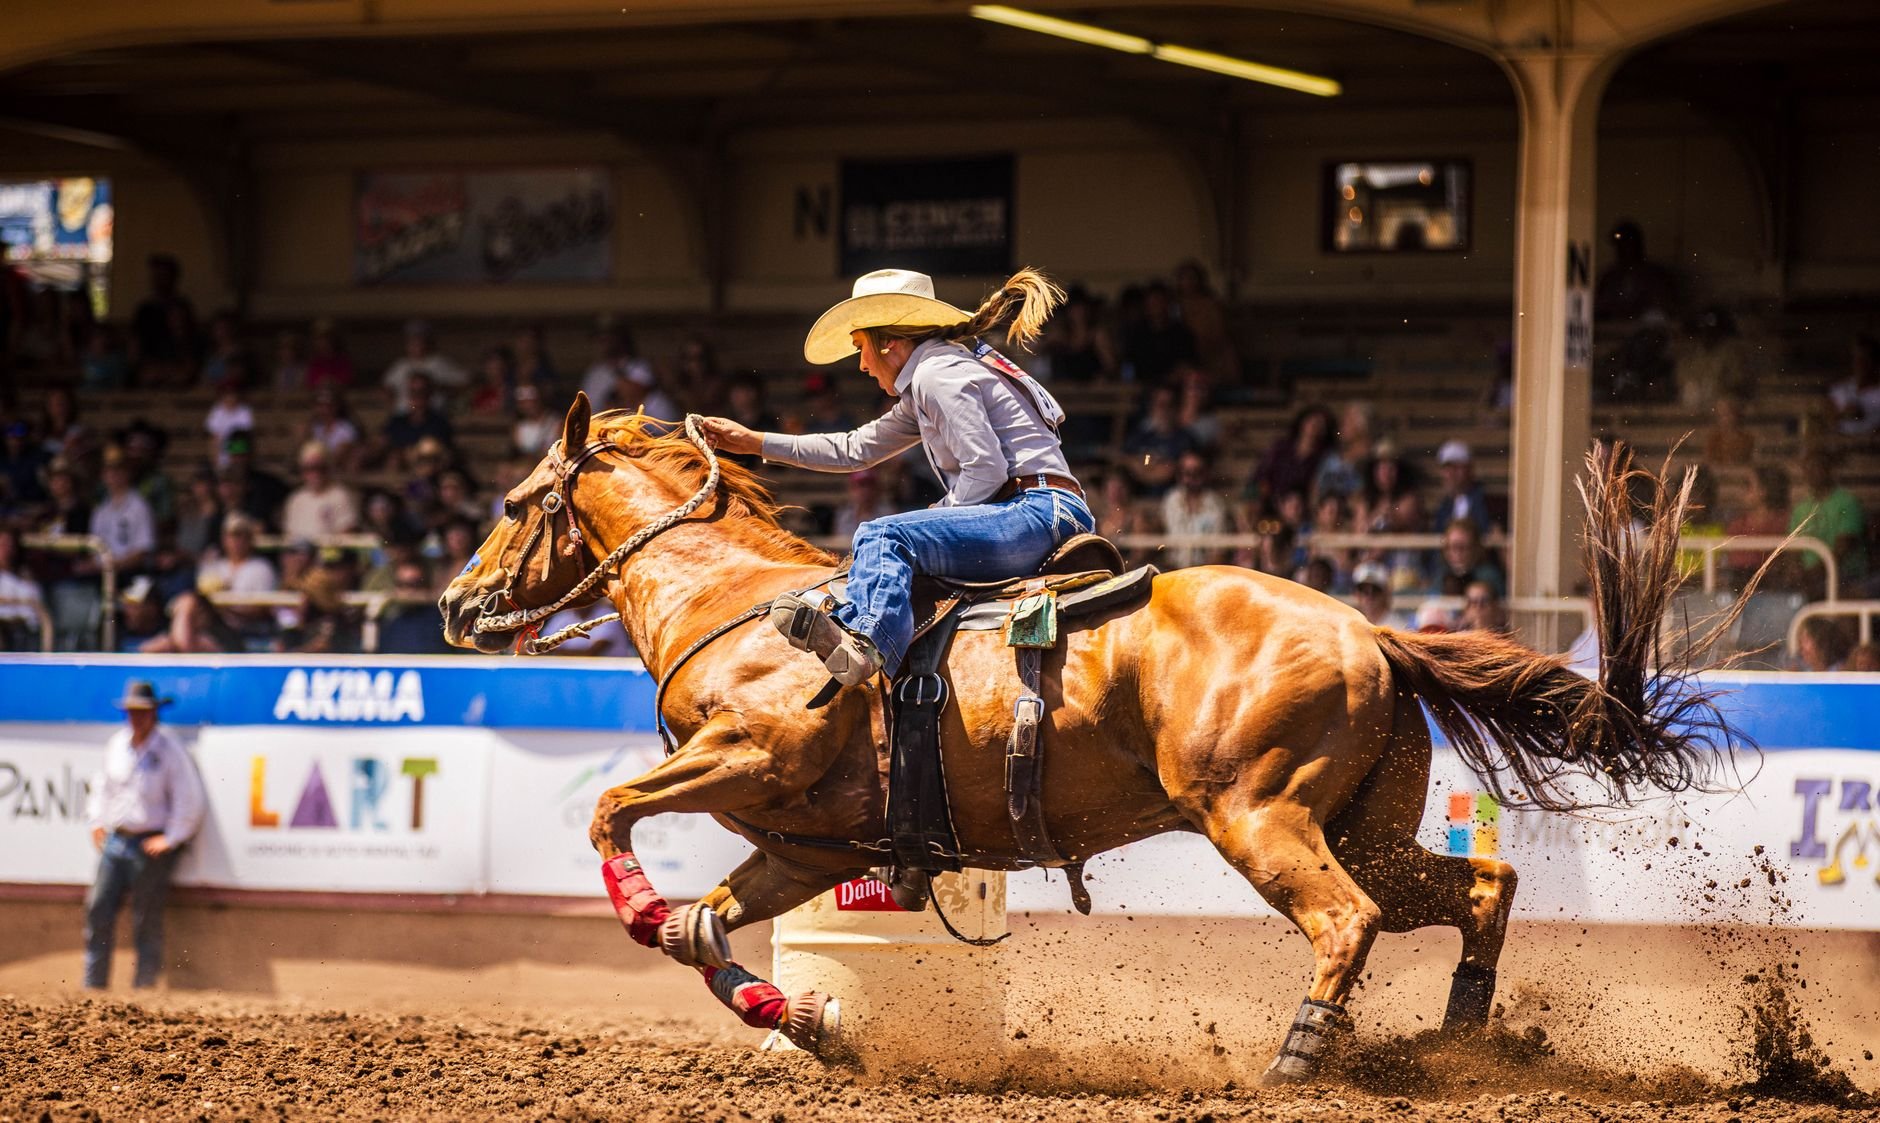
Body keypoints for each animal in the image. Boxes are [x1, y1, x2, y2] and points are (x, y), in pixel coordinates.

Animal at [439, 392, 1748, 1082]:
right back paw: (1457, 1044)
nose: (455, 604)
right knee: (1481, 884)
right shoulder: (810, 845)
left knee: (1347, 919)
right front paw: (802, 1020)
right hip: (1364, 820)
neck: (746, 607)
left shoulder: (752, 754)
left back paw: (1296, 1058)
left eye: (511, 503)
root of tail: (1368, 627)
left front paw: (674, 929)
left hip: (1260, 814)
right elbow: (702, 928)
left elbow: (614, 819)